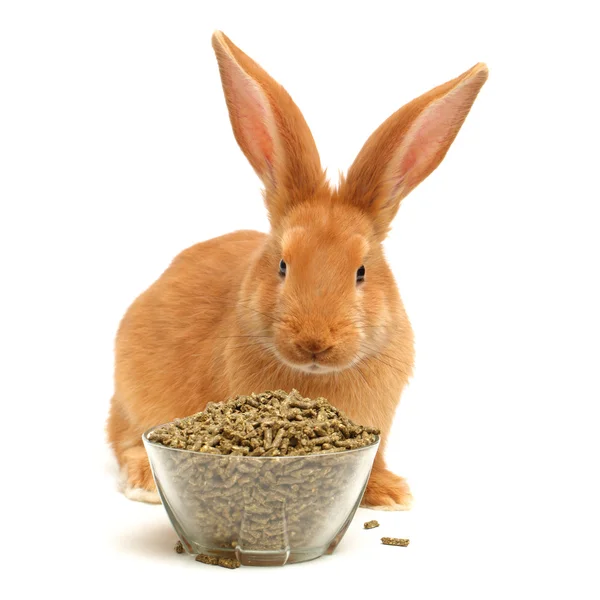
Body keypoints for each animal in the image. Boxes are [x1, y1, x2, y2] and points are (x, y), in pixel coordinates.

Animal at [106, 30, 488, 508]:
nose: (314, 342)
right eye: (283, 265)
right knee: (124, 437)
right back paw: (144, 482)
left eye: (361, 271)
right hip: (131, 395)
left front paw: (389, 492)